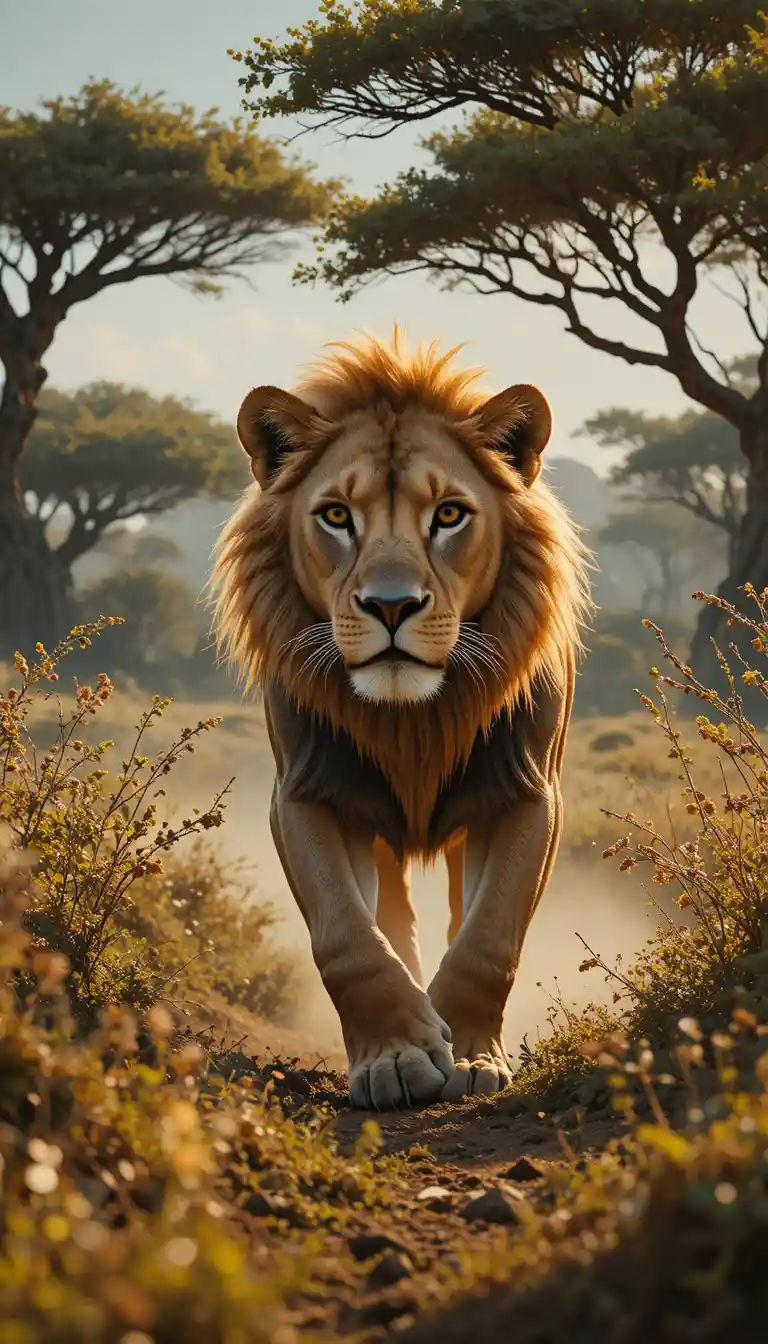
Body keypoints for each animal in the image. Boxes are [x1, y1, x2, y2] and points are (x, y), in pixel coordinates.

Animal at [212, 328, 590, 1110]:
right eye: (336, 515)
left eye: (448, 514)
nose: (391, 606)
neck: (413, 720)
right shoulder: (305, 793)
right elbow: (347, 937)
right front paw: (396, 1056)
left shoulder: (530, 793)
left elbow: (489, 937)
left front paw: (471, 1056)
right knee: (392, 915)